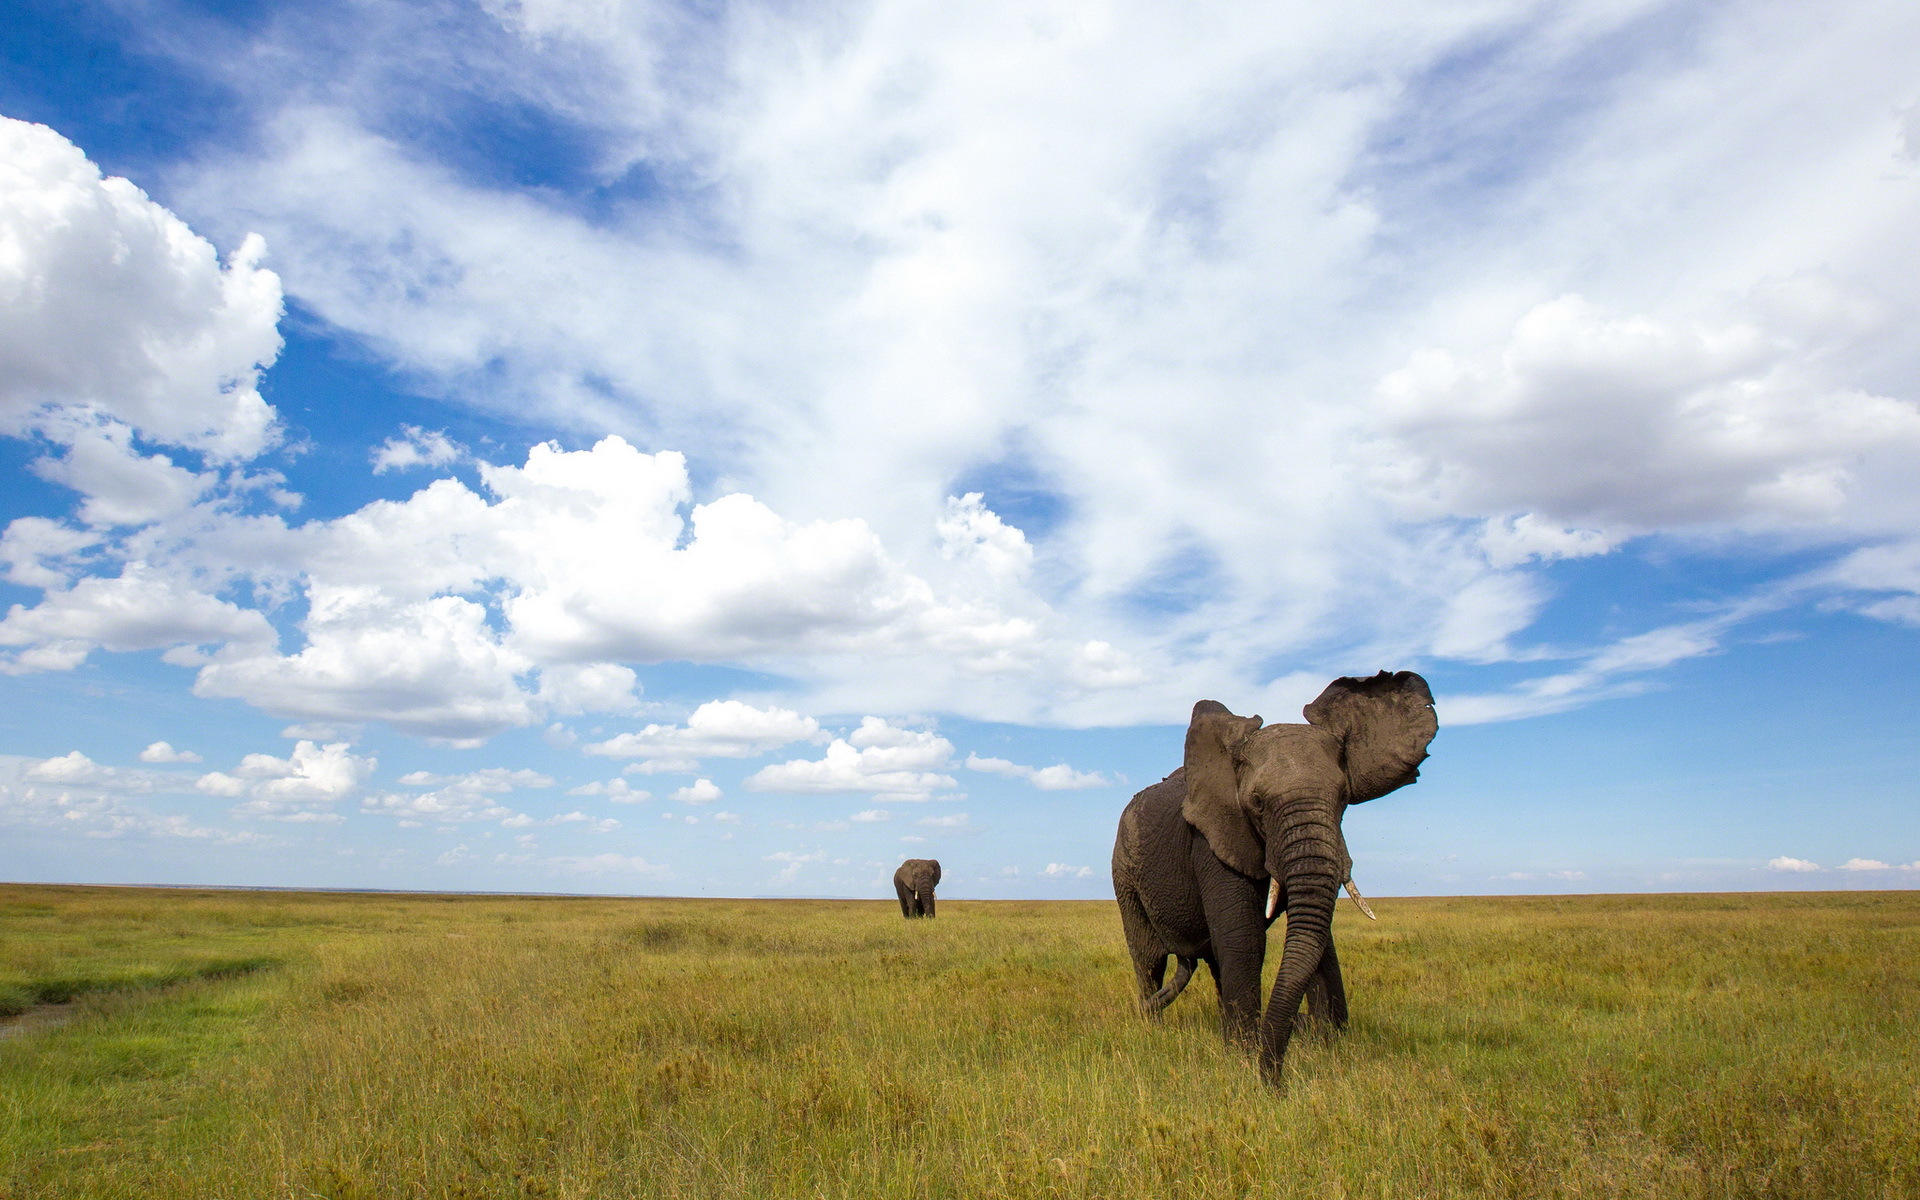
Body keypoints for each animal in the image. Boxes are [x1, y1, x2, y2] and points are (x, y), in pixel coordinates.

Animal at [1105, 668, 1436, 1090]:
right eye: (1258, 804)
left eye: (1343, 798)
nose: (1275, 1083)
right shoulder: (1213, 835)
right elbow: (1244, 937)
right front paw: (1246, 1057)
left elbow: (1316, 936)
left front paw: (1328, 1043)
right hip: (1123, 868)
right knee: (1149, 956)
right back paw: (1154, 1027)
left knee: (1212, 960)